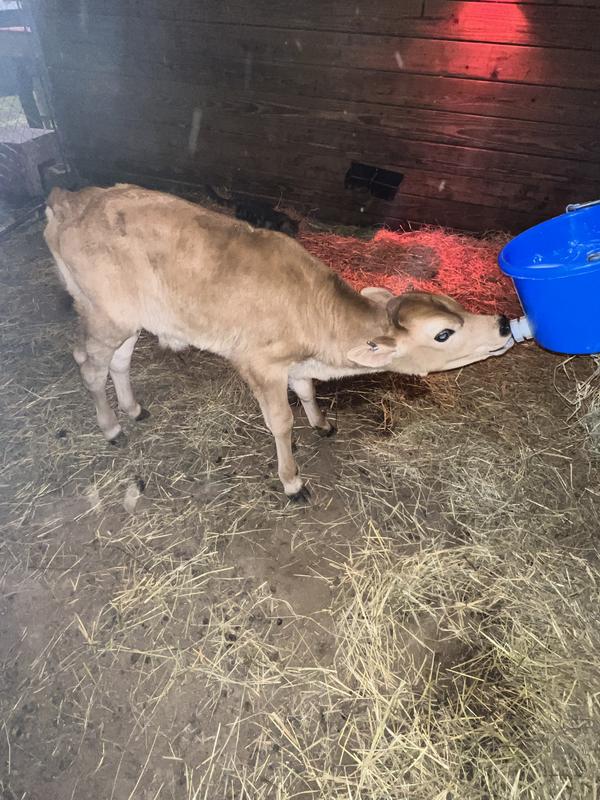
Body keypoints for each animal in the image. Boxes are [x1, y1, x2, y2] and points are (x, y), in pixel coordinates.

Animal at [43, 184, 513, 501]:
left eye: (454, 303)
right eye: (443, 333)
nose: (504, 323)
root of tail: (70, 199)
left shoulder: (296, 363)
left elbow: (305, 390)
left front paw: (322, 424)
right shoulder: (262, 364)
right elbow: (282, 422)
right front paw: (292, 480)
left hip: (131, 319)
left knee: (118, 363)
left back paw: (133, 409)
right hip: (104, 314)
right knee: (87, 362)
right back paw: (111, 428)